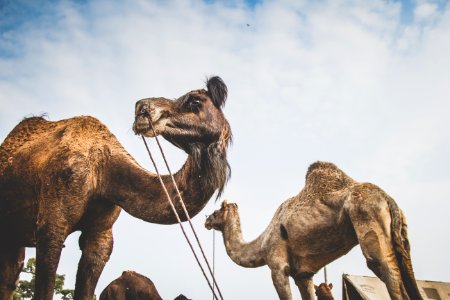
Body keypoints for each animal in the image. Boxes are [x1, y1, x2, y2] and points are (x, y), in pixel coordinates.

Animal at [206, 162, 424, 300]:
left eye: (217, 211)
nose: (206, 220)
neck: (261, 245)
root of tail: (388, 199)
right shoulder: (303, 274)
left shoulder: (278, 267)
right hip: (399, 233)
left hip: (367, 218)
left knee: (382, 267)